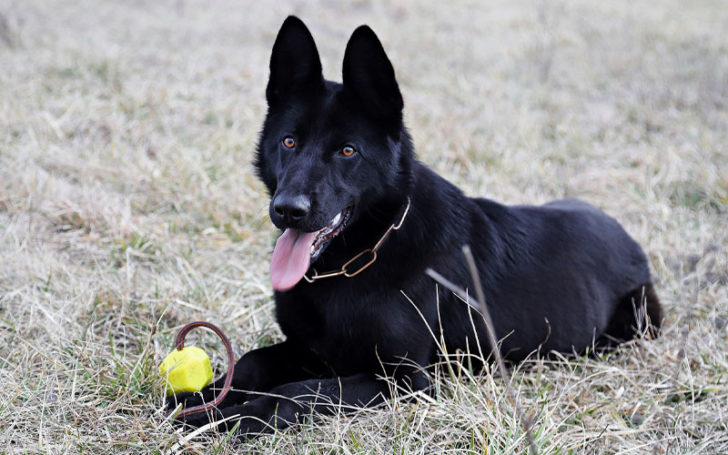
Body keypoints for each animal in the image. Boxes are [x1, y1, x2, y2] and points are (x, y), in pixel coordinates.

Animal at [173, 16, 664, 436]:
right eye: (289, 142)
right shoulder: (308, 348)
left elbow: (297, 393)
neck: (357, 260)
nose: (287, 210)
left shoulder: (404, 379)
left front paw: (235, 416)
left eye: (347, 151)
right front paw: (204, 397)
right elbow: (252, 362)